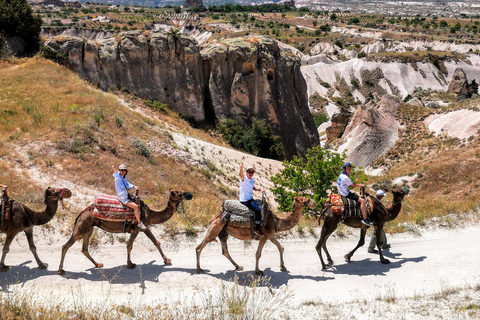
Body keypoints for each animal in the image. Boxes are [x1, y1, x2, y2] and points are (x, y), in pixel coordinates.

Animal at [59, 190, 193, 276]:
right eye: (178, 193)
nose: (187, 193)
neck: (150, 213)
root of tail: (81, 213)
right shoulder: (137, 228)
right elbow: (129, 245)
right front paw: (130, 264)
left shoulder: (145, 227)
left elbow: (156, 242)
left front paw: (167, 260)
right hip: (81, 228)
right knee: (66, 245)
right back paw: (61, 270)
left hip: (89, 228)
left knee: (84, 248)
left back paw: (98, 264)